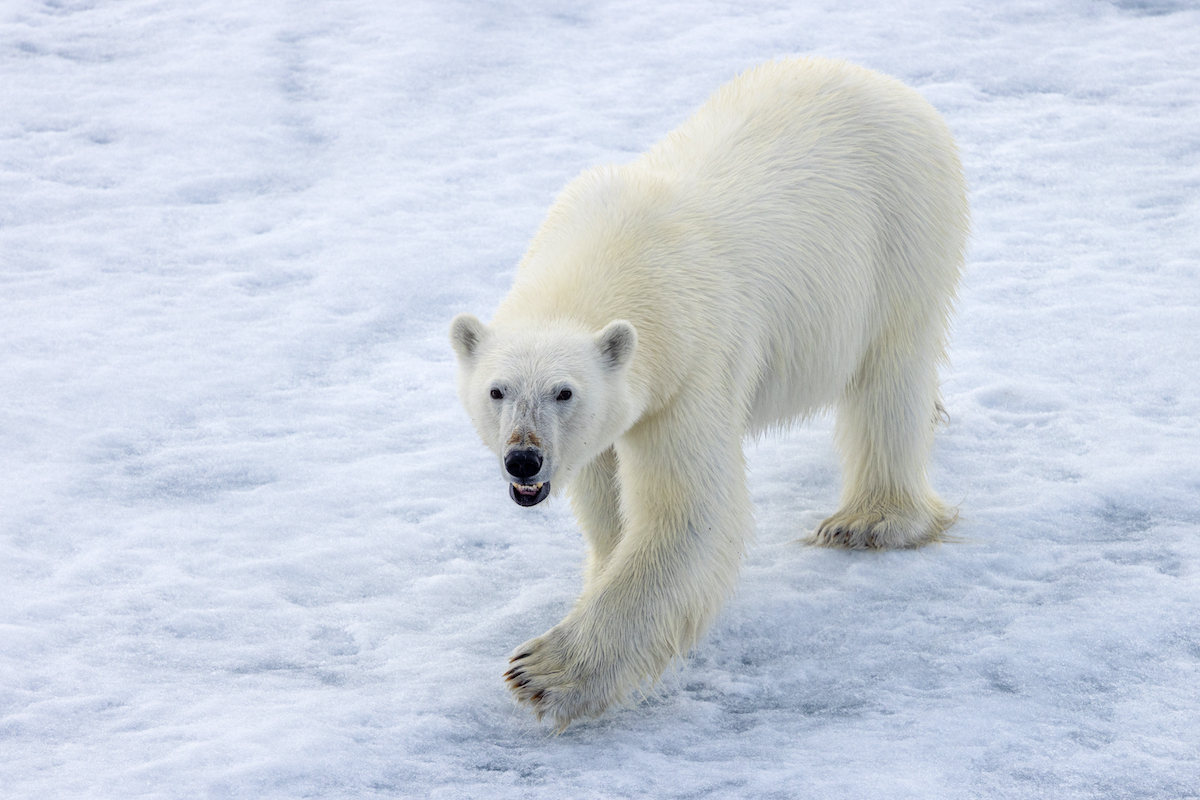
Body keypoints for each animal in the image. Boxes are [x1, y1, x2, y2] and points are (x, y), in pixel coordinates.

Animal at [449, 57, 969, 730]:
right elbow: (606, 490)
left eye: (564, 392)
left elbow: (687, 511)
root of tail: (891, 86)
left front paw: (543, 673)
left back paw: (868, 521)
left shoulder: (690, 363)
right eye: (497, 390)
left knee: (889, 374)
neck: (608, 259)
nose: (524, 459)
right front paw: (599, 572)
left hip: (900, 235)